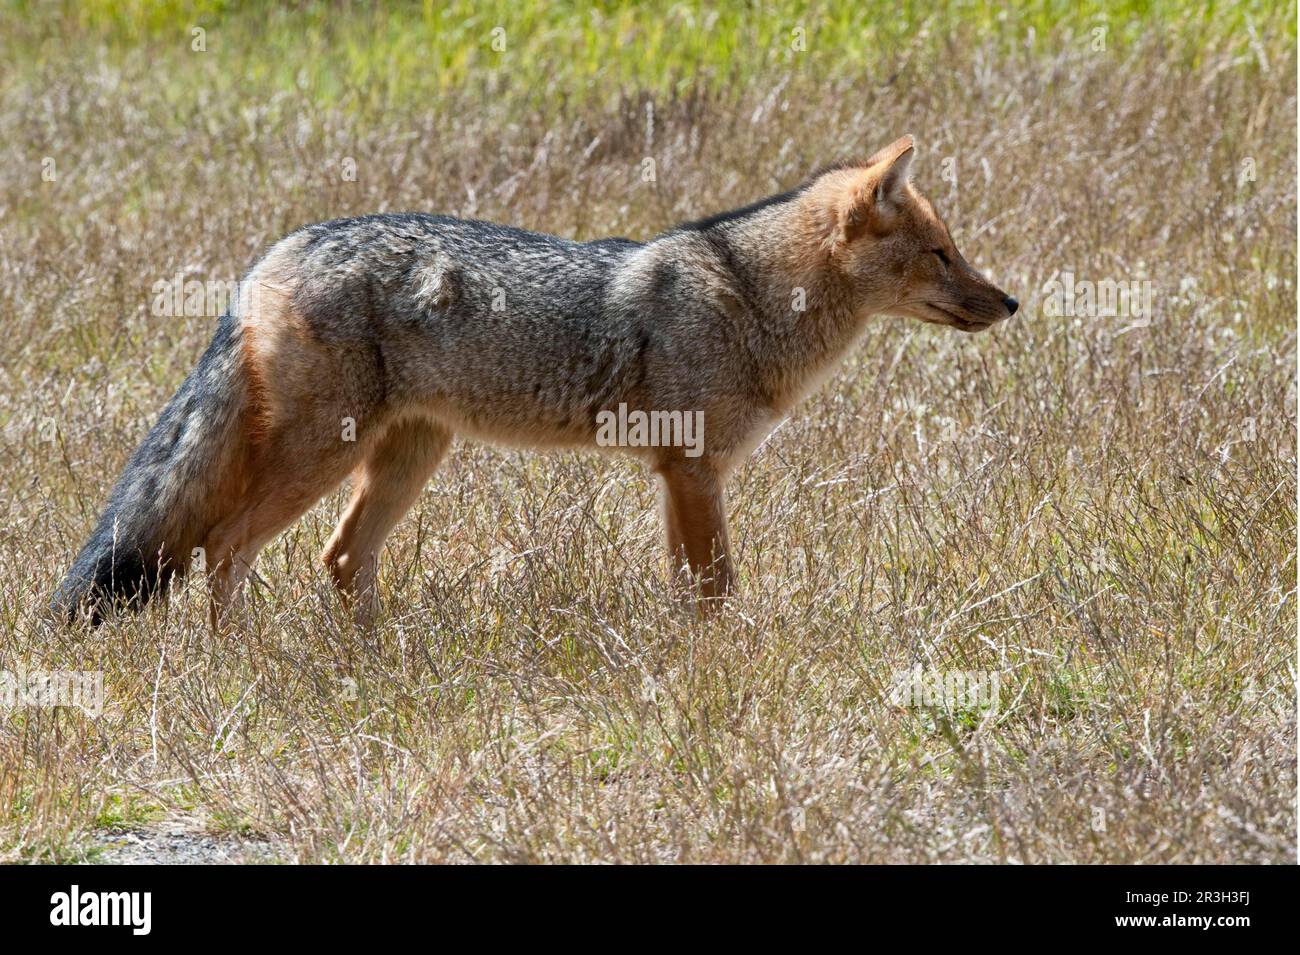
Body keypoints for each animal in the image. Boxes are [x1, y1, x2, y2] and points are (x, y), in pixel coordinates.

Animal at [55, 136, 1013, 628]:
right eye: (941, 254)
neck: (749, 295)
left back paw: (373, 662)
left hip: (404, 461)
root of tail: (277, 251)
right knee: (224, 546)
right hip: (322, 458)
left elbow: (691, 589)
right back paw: (242, 657)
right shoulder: (693, 472)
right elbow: (717, 588)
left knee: (338, 557)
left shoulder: (679, 476)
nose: (1010, 301)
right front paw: (726, 663)